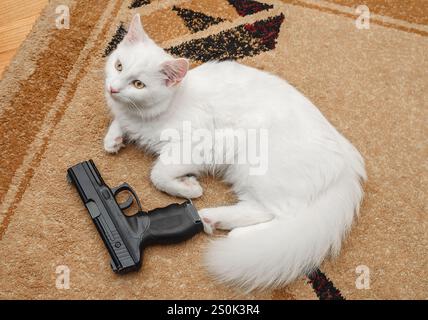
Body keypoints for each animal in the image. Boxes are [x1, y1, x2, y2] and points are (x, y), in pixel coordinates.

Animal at [103, 14, 364, 290]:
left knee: (285, 219)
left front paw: (189, 188)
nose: (113, 89)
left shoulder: (199, 144)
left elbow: (159, 174)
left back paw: (243, 238)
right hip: (244, 174)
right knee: (258, 210)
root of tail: (348, 160)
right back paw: (213, 219)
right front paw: (113, 138)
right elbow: (119, 121)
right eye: (118, 66)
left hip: (257, 168)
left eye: (138, 84)